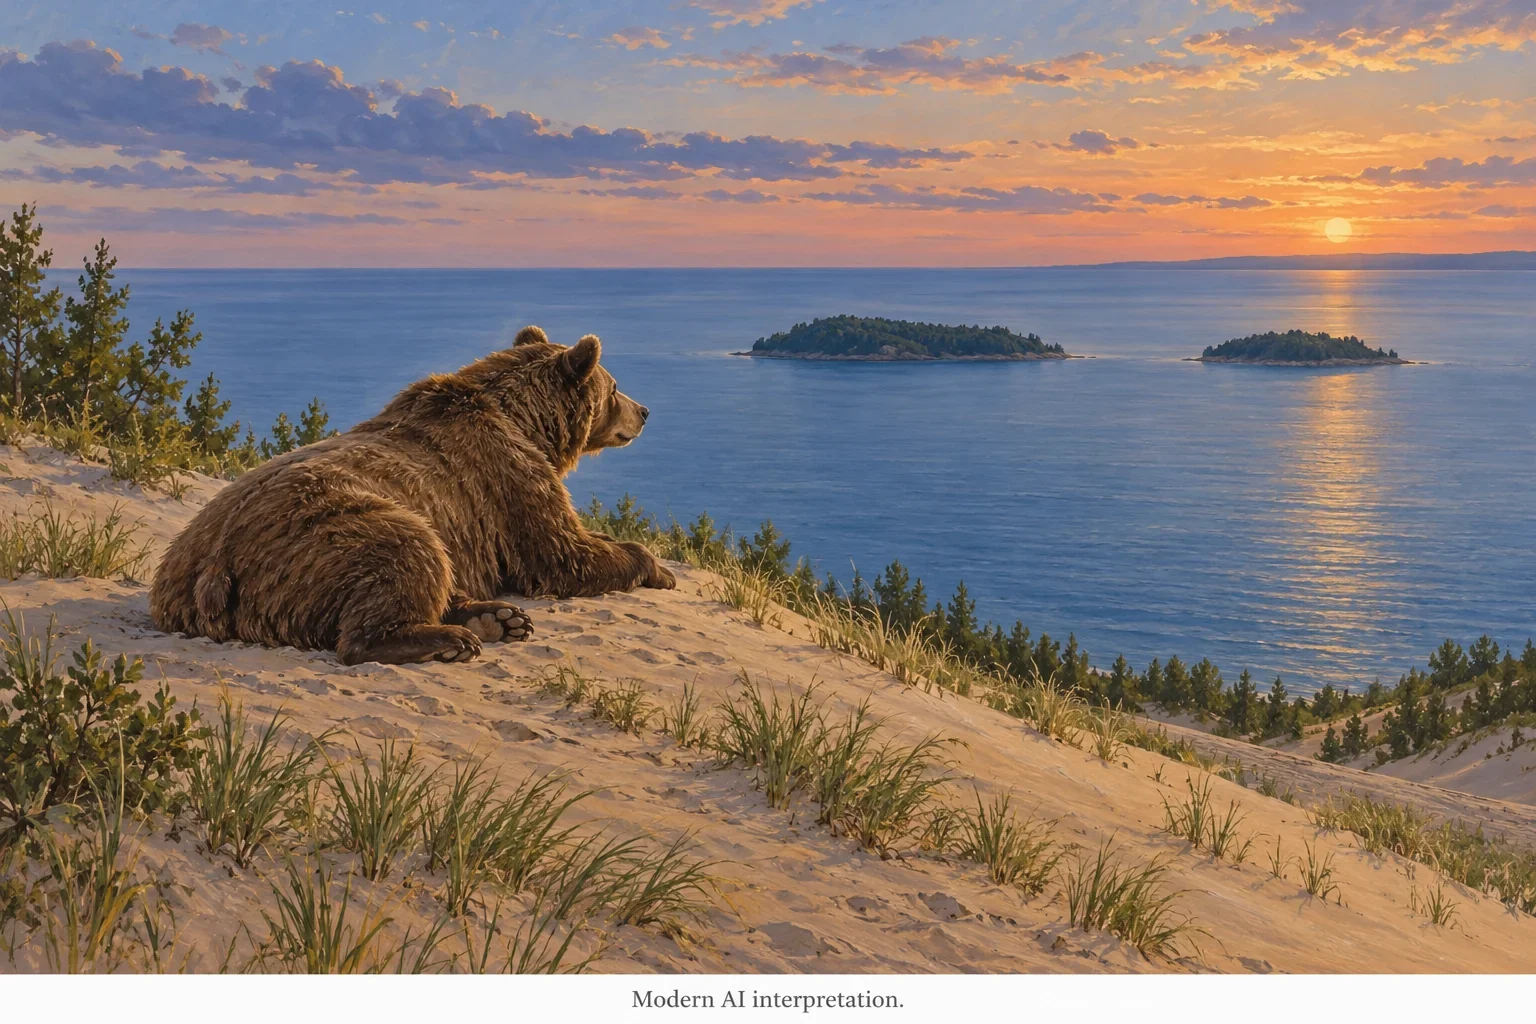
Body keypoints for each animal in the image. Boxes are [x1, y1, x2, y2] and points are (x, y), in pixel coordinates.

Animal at [149, 326, 676, 665]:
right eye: (615, 387)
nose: (646, 411)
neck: (524, 423)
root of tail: (209, 570)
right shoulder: (510, 481)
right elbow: (563, 553)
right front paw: (657, 567)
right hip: (332, 531)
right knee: (407, 555)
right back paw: (448, 640)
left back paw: (497, 619)